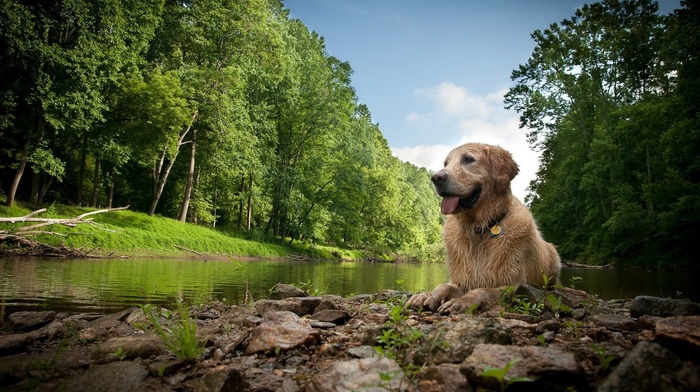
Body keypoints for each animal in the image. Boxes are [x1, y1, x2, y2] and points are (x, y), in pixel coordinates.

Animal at [408, 142, 560, 314]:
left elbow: (481, 290)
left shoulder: (513, 284)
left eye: (468, 159)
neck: (479, 229)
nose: (436, 178)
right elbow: (443, 286)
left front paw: (461, 301)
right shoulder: (462, 280)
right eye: (446, 163)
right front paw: (426, 295)